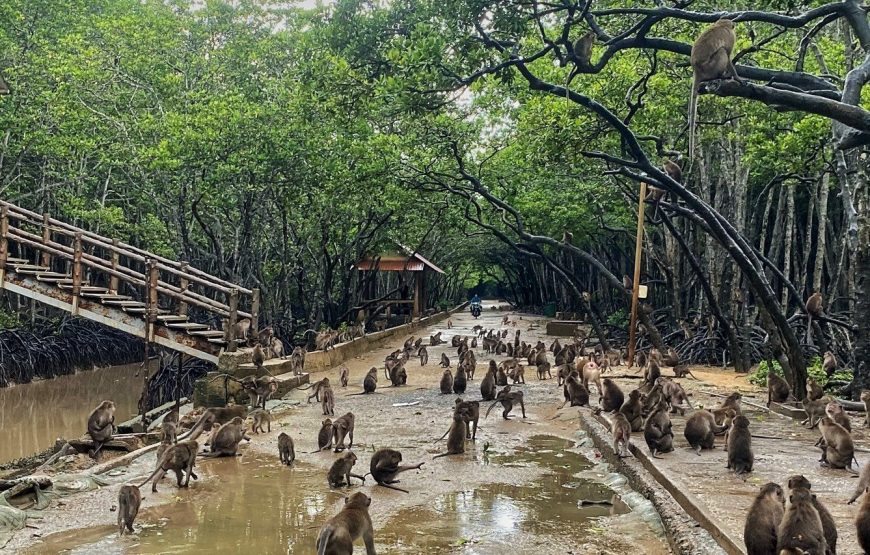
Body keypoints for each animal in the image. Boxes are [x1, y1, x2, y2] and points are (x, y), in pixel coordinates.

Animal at [688, 19, 744, 159]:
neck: (721, 24)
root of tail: (697, 70)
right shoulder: (731, 37)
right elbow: (728, 56)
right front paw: (737, 78)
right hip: (711, 67)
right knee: (722, 51)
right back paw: (722, 75)